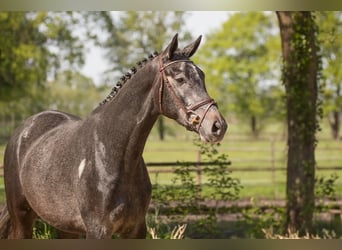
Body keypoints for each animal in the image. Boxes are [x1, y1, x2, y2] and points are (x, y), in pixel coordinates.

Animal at [0, 33, 227, 238]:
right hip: (22, 217)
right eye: (180, 79)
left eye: (202, 76)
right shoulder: (97, 231)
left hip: (65, 228)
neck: (114, 155)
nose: (217, 126)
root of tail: (23, 130)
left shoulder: (136, 230)